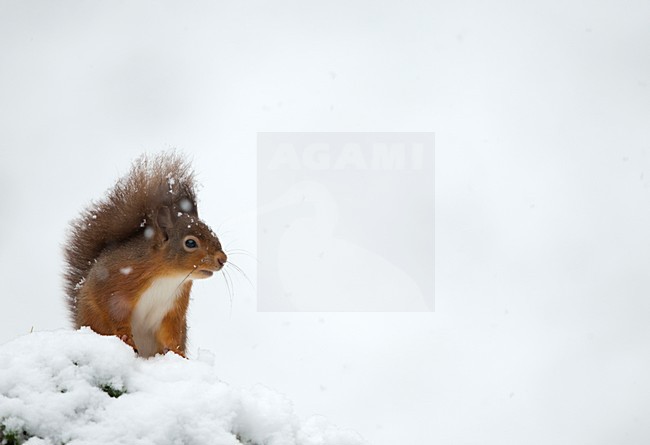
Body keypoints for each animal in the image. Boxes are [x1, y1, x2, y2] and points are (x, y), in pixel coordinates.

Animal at [63, 152, 226, 358]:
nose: (223, 259)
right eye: (190, 243)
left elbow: (171, 333)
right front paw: (126, 337)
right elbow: (113, 312)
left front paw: (179, 355)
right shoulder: (115, 287)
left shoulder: (173, 309)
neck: (167, 276)